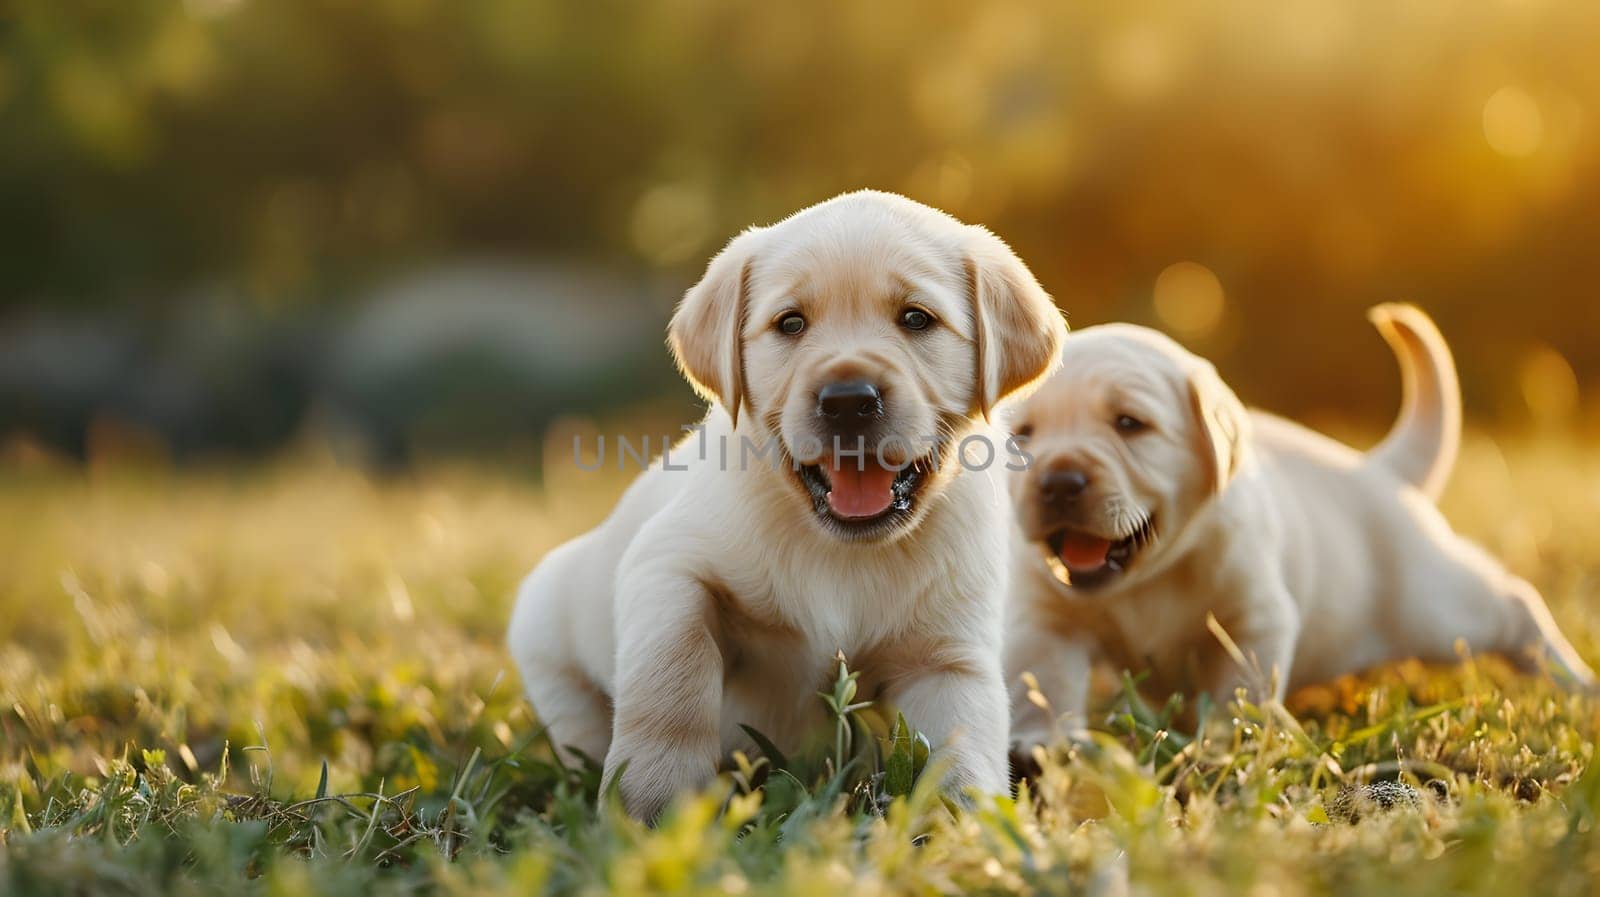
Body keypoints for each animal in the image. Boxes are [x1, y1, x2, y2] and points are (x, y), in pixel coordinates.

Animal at [505, 188, 1068, 818]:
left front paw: (966, 828)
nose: (848, 401)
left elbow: (963, 742)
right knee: (579, 719)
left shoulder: (947, 652)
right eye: (791, 323)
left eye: (917, 318)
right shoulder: (669, 566)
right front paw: (649, 804)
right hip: (544, 620)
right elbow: (672, 675)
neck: (839, 545)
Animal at [1004, 303, 1593, 745]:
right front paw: (1042, 744)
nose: (1058, 482)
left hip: (1439, 610)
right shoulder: (1046, 622)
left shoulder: (1253, 620)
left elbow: (1238, 693)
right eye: (1024, 435)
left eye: (1130, 424)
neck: (1147, 579)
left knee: (1516, 605)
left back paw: (1578, 683)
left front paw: (1224, 748)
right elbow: (1044, 683)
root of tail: (1380, 470)